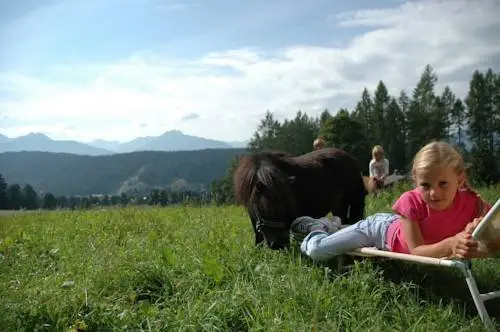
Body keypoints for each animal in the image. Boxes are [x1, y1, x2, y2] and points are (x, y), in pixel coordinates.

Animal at [234, 148, 368, 249]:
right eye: (264, 209)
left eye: (287, 207)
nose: (278, 245)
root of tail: (351, 159)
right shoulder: (253, 215)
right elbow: (258, 234)